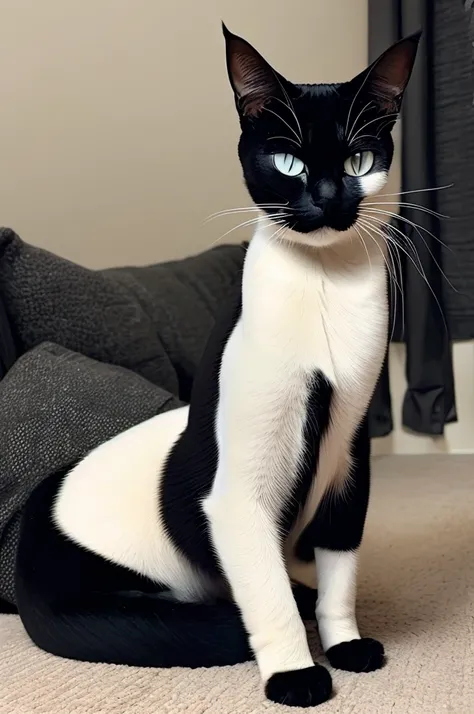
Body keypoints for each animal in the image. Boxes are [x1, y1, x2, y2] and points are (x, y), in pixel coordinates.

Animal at [14, 23, 418, 708]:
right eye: (289, 163)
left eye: (359, 162)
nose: (327, 200)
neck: (325, 288)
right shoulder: (237, 493)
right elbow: (269, 594)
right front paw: (295, 675)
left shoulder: (349, 452)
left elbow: (340, 561)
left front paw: (343, 642)